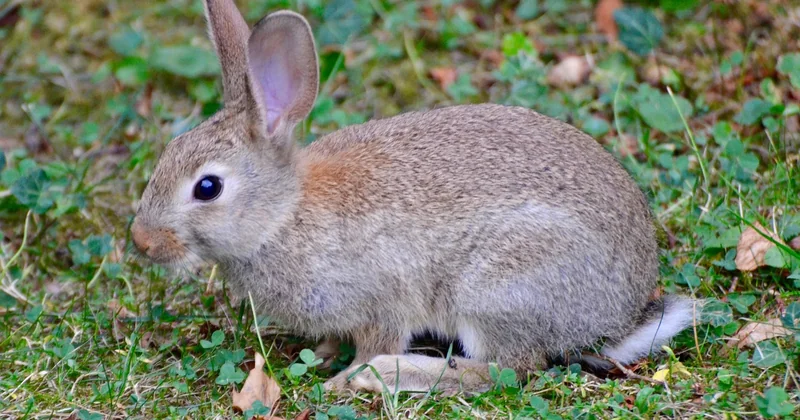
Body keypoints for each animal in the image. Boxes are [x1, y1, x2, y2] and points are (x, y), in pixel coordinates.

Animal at [130, 0, 699, 394]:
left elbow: (376, 339)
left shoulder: (383, 297)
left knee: (506, 371)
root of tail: (616, 317)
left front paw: (342, 380)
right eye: (167, 152)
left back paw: (388, 374)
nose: (141, 241)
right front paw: (321, 354)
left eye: (208, 187)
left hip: (497, 286)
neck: (282, 216)